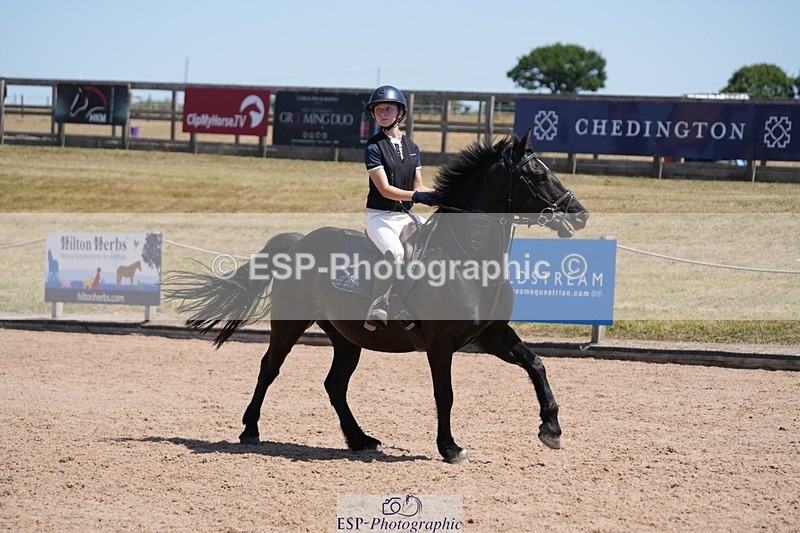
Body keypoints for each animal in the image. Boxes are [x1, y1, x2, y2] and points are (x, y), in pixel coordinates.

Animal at [164, 130, 588, 463]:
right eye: (536, 174)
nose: (579, 213)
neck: (471, 259)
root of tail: (298, 241)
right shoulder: (441, 343)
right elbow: (445, 394)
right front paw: (450, 448)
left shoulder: (491, 335)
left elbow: (536, 364)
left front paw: (551, 429)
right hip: (289, 324)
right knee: (270, 367)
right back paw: (250, 430)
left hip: (346, 336)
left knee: (335, 385)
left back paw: (360, 440)